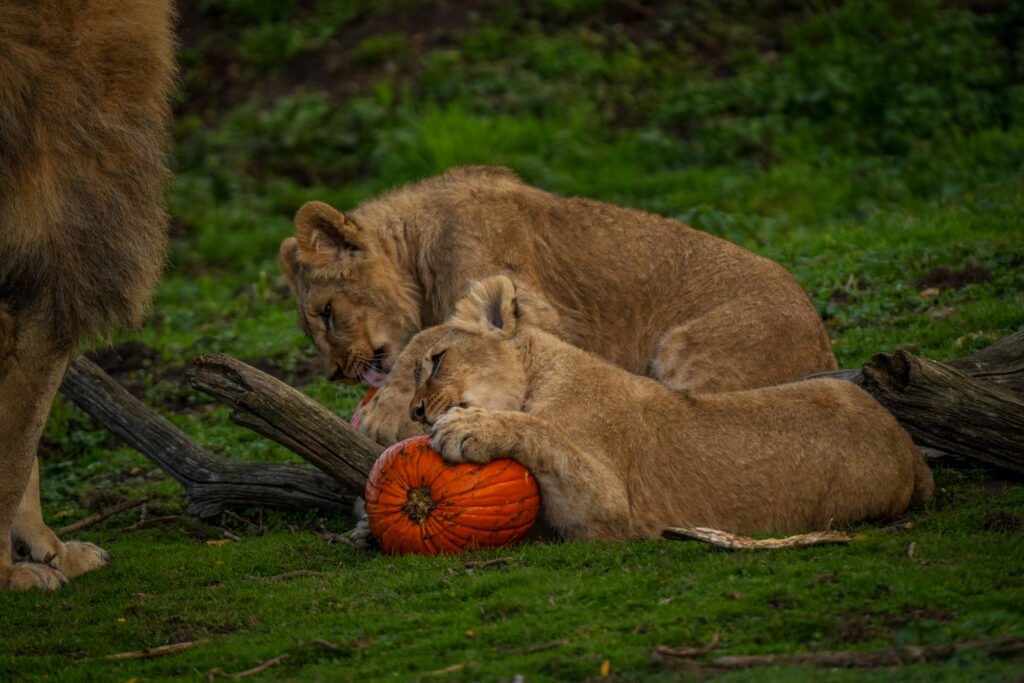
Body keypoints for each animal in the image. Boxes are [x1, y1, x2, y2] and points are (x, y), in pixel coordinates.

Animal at [280, 166, 838, 446]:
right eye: (311, 330)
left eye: (327, 312)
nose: (334, 374)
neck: (417, 253)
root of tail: (826, 348)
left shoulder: (534, 306)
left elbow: (427, 336)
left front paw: (385, 414)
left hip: (686, 346)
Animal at [408, 276, 933, 540]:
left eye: (436, 360)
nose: (414, 412)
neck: (539, 373)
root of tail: (907, 445)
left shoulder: (610, 510)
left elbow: (545, 434)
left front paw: (469, 429)